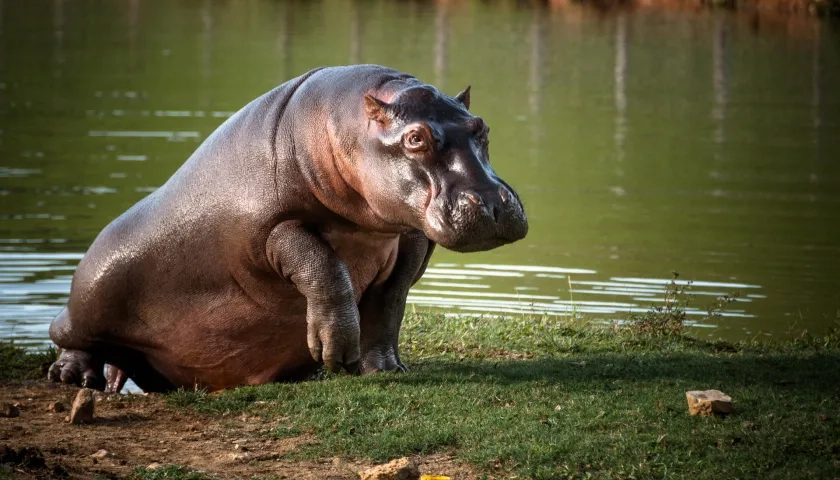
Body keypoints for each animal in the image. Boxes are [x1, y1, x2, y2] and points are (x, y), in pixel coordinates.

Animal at [44, 64, 524, 394]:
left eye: (481, 127)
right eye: (416, 138)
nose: (492, 204)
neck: (345, 126)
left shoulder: (412, 238)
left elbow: (389, 304)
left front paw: (385, 368)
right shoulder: (270, 231)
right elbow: (325, 269)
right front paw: (335, 353)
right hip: (92, 291)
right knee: (68, 333)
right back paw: (72, 377)